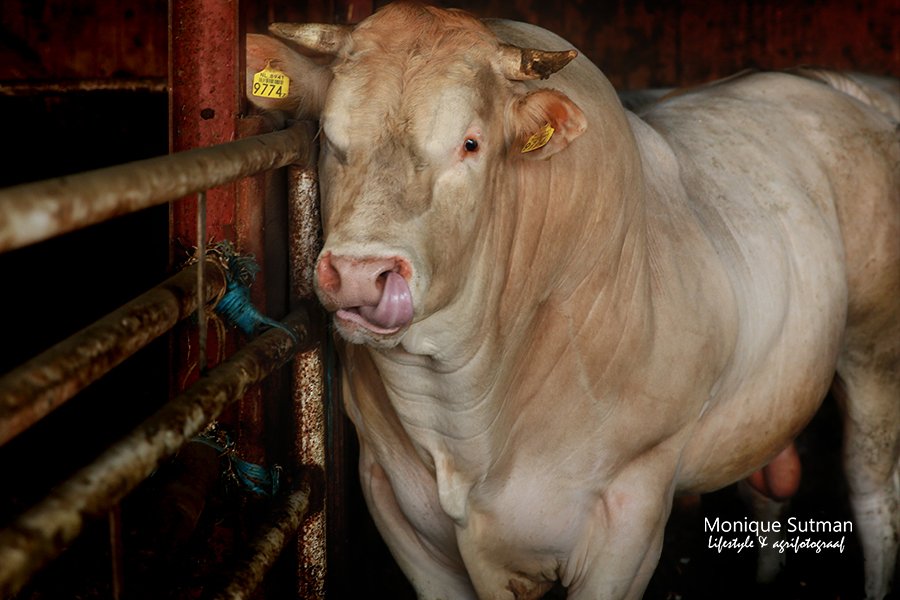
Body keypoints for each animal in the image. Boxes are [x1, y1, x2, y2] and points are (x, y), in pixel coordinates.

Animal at [245, 3, 900, 598]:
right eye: (330, 138)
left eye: (471, 143)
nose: (360, 274)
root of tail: (823, 81)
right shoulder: (392, 501)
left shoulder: (631, 509)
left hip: (873, 354)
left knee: (872, 491)